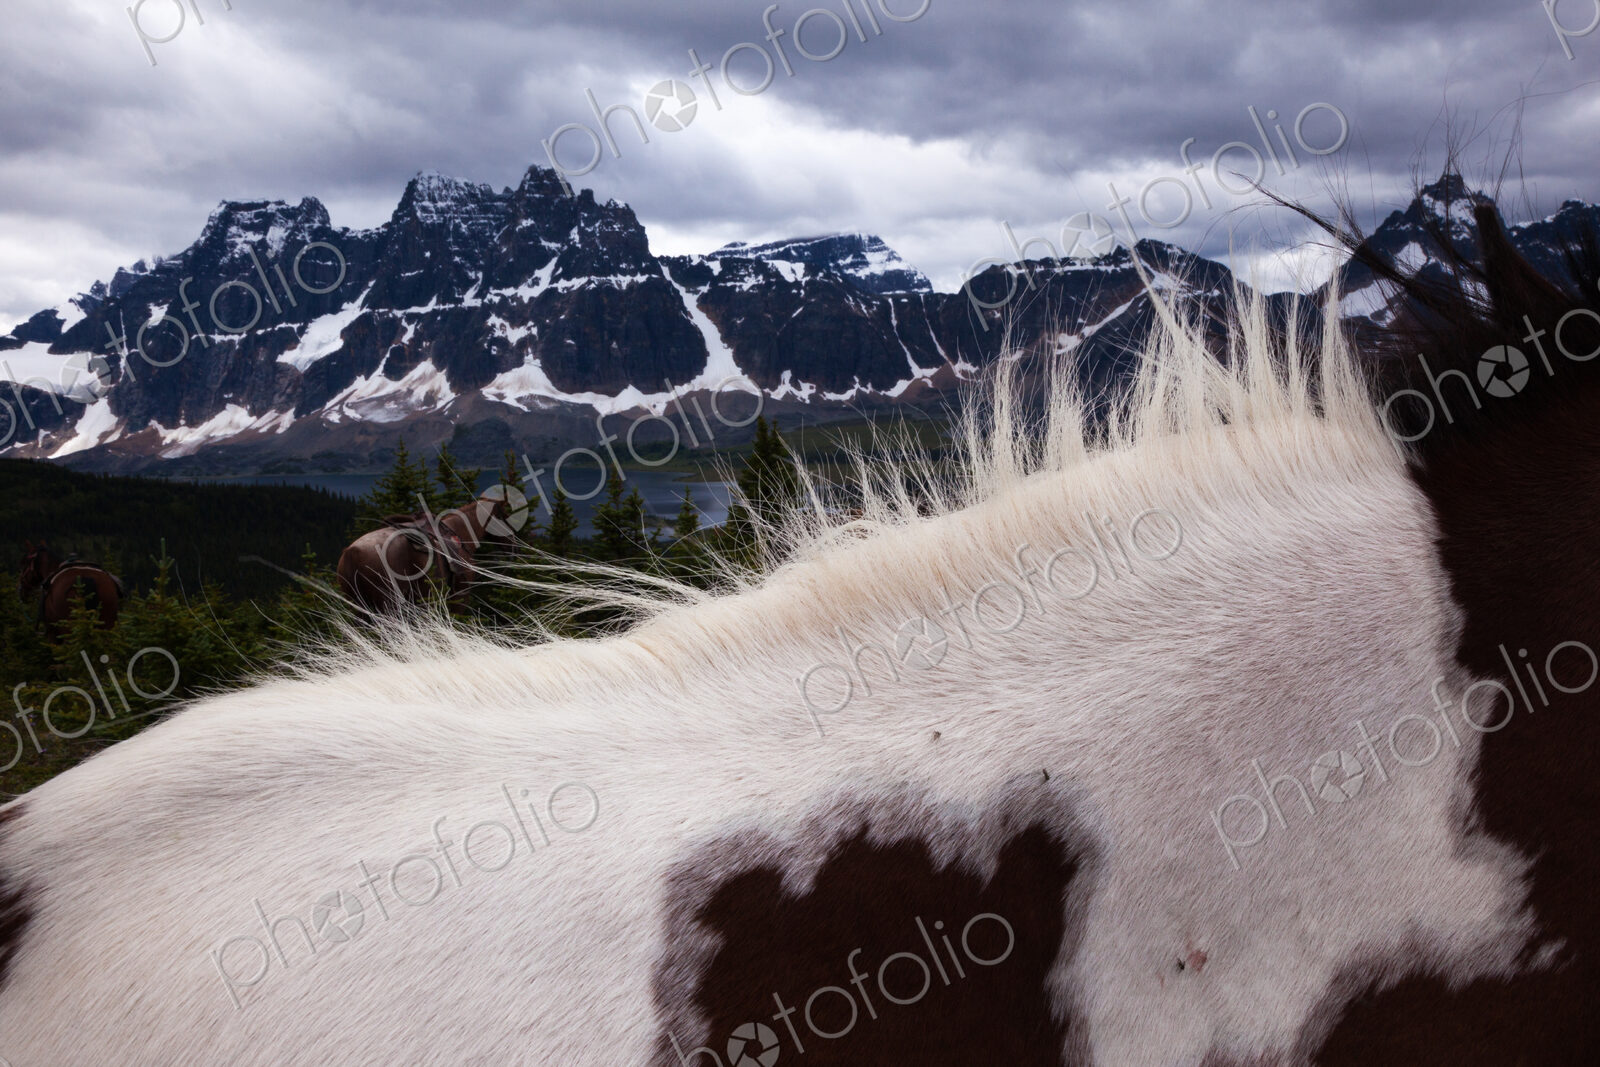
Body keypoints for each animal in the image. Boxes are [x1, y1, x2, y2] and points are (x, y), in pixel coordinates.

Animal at [335, 486, 521, 614]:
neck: (460, 532)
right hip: (388, 605)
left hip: (359, 608)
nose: (515, 545)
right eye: (504, 516)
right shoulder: (460, 597)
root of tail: (352, 553)